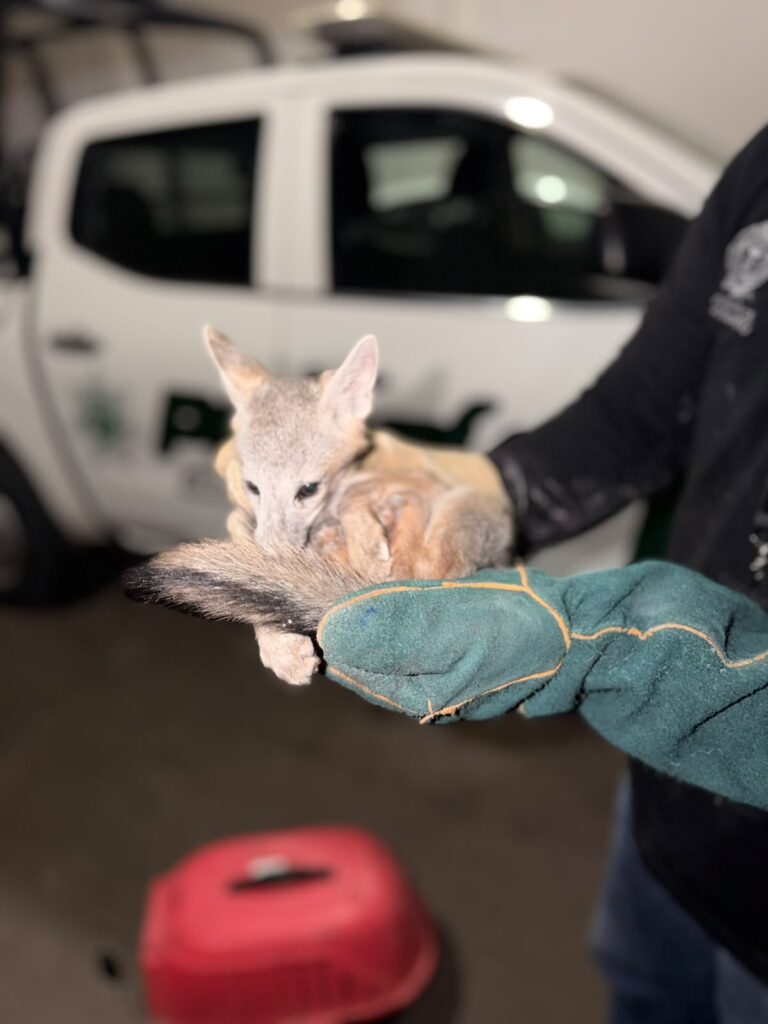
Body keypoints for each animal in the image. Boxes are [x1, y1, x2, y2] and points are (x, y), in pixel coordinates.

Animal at [126, 328, 513, 684]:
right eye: (253, 487)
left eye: (308, 489)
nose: (274, 552)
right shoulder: (244, 517)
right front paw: (278, 643)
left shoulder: (420, 478)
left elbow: (356, 496)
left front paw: (368, 544)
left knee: (421, 566)